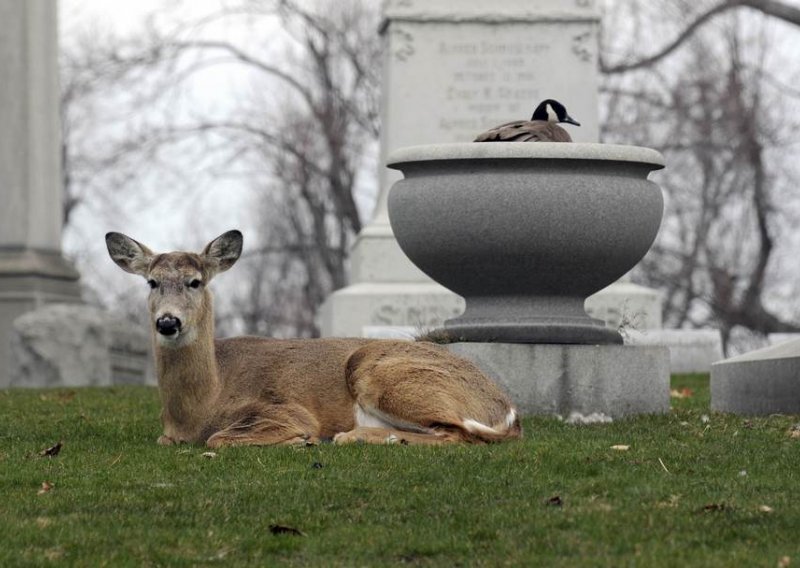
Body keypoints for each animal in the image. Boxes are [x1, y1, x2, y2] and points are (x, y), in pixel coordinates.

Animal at [104, 231, 520, 448]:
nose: (168, 322)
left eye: (195, 282)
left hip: (381, 373)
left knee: (457, 435)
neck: (200, 406)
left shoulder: (284, 408)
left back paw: (350, 436)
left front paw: (301, 440)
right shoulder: (168, 435)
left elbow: (218, 439)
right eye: (151, 282)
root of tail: (508, 410)